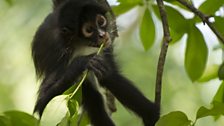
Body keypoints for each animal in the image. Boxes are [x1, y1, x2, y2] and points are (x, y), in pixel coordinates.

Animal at [32, 0, 160, 125]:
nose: (102, 35)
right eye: (89, 30)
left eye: (101, 21)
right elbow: (41, 105)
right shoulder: (61, 57)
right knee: (89, 91)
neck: (79, 43)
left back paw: (151, 114)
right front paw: (80, 64)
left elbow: (108, 74)